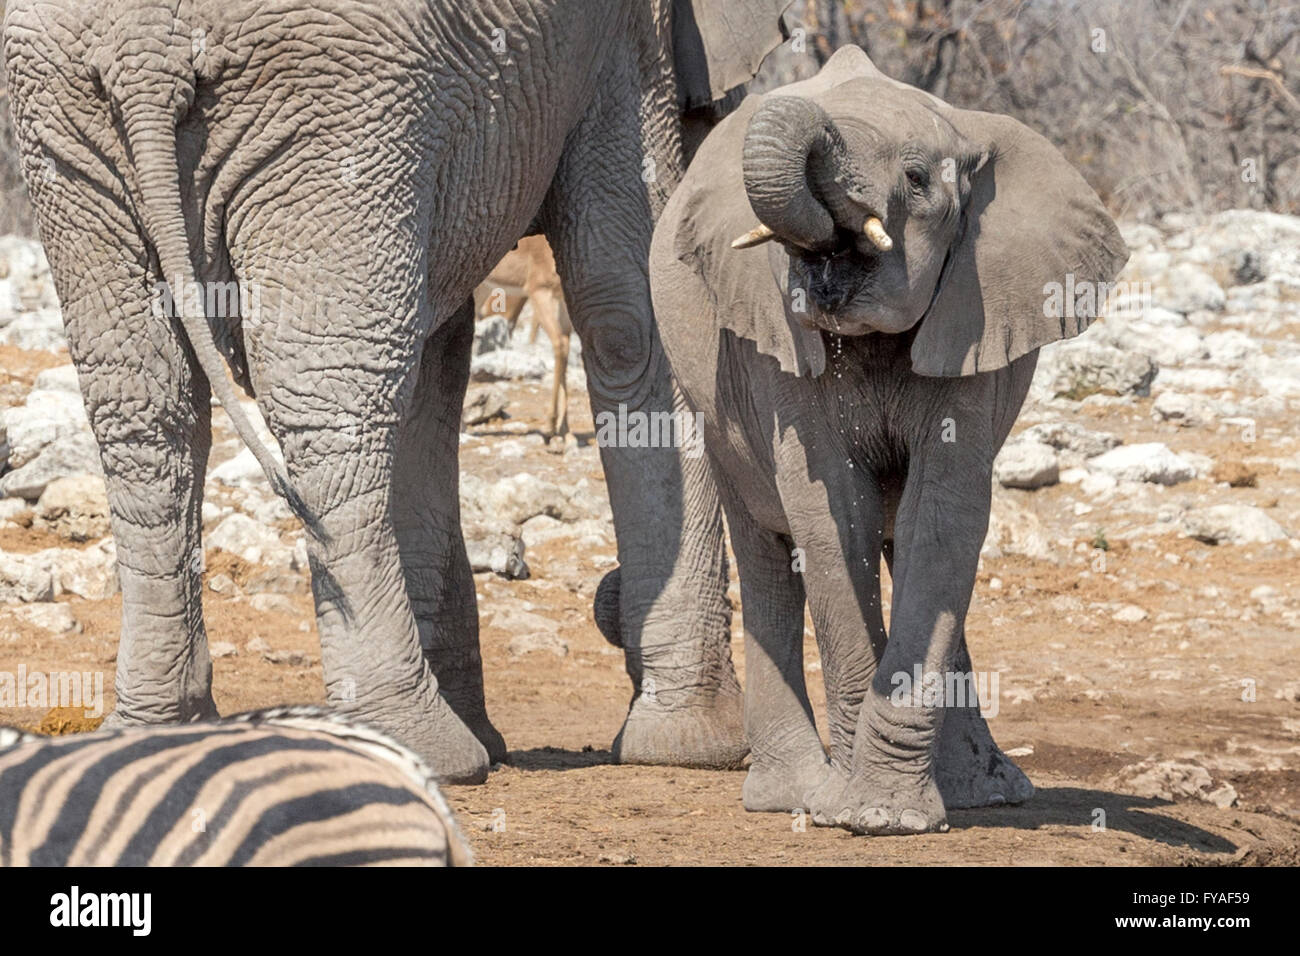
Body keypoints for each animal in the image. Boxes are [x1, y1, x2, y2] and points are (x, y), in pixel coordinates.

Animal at [2, 0, 793, 782]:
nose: (610, 593)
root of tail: (146, 59)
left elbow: (437, 353)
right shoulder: (624, 45)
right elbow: (628, 311)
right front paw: (699, 746)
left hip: (73, 117)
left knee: (145, 409)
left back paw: (160, 732)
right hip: (335, 98)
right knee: (331, 410)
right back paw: (422, 750)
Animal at [649, 45, 1128, 834]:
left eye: (916, 179)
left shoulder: (974, 317)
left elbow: (944, 512)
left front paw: (886, 816)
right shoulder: (778, 344)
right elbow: (829, 510)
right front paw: (849, 808)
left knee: (909, 536)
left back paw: (986, 792)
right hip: (709, 398)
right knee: (766, 546)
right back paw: (795, 794)